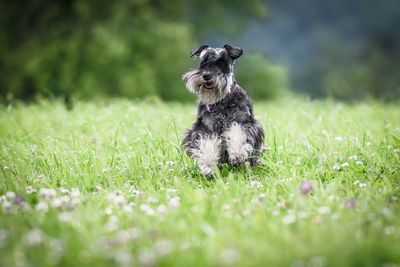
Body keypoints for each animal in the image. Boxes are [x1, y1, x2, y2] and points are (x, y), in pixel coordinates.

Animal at [182, 44, 264, 178]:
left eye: (221, 62)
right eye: (203, 62)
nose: (206, 76)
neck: (221, 101)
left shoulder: (244, 123)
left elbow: (238, 135)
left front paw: (237, 155)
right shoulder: (204, 128)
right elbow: (207, 145)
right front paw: (209, 167)